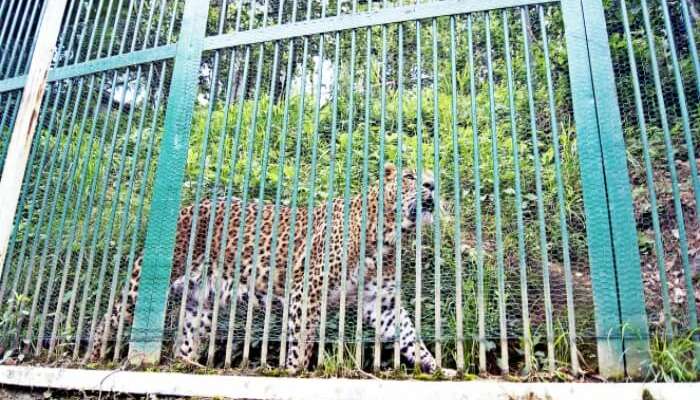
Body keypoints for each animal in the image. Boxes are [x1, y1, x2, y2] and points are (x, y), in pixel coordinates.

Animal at [90, 161, 440, 374]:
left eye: (431, 178)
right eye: (410, 178)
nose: (432, 185)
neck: (388, 238)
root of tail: (187, 207)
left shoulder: (381, 303)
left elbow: (410, 336)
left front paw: (438, 370)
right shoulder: (306, 292)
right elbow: (301, 340)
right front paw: (294, 372)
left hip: (200, 303)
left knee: (186, 340)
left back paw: (192, 367)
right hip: (147, 283)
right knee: (110, 315)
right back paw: (94, 355)